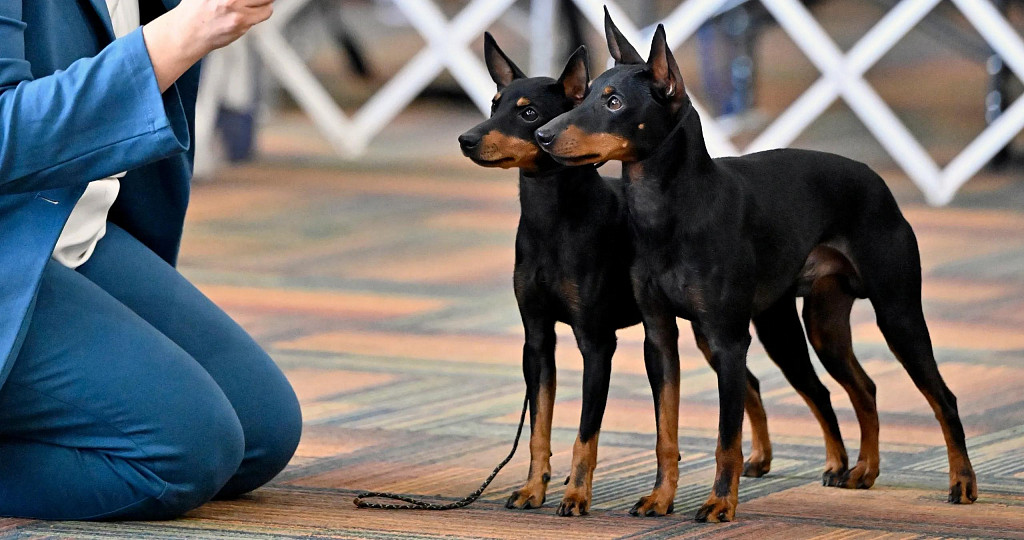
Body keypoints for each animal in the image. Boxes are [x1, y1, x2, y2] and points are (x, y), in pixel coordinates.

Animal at [460, 34, 851, 520]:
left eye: (529, 113)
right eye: (494, 104)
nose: (466, 139)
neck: (551, 219)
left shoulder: (597, 344)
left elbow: (585, 433)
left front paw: (577, 495)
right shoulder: (537, 341)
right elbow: (539, 429)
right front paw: (534, 489)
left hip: (767, 330)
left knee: (814, 391)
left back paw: (836, 465)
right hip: (710, 334)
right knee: (752, 384)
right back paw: (761, 458)